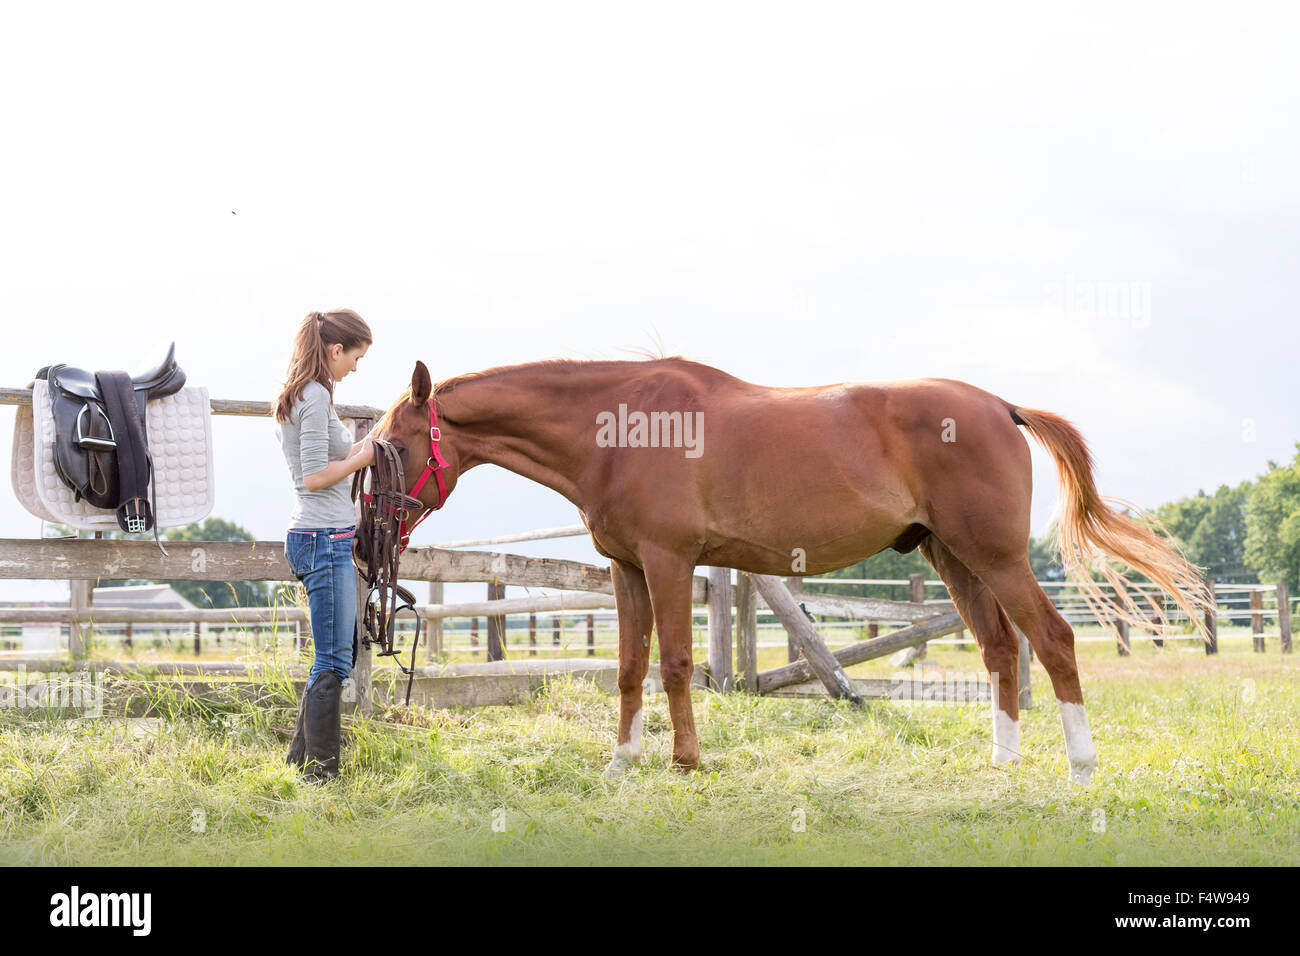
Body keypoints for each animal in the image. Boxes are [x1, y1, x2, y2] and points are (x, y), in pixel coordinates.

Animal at [369, 356, 1206, 785]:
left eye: (393, 447)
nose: (369, 543)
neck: (620, 426)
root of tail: (1001, 405)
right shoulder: (628, 570)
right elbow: (631, 668)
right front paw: (622, 761)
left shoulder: (671, 562)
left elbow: (676, 664)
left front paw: (685, 760)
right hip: (953, 558)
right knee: (1002, 650)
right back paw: (1001, 764)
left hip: (994, 557)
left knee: (1054, 641)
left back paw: (1081, 766)